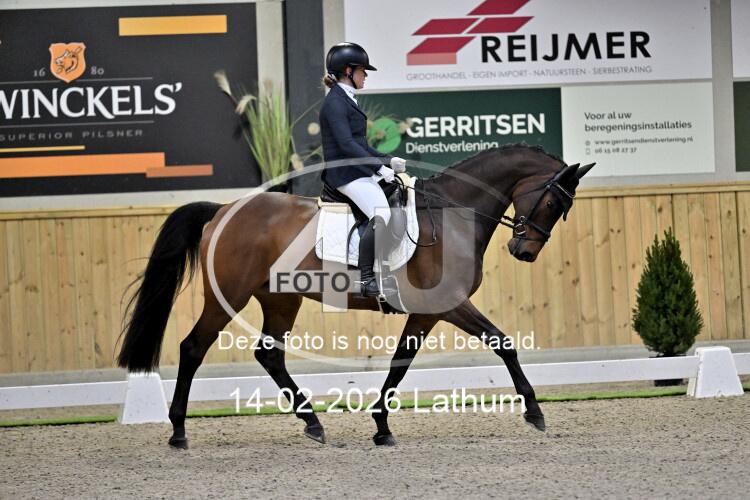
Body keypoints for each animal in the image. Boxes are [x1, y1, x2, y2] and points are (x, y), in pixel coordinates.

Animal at [116, 143, 595, 449]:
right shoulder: (451, 304)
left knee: (269, 354)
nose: (523, 251)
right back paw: (178, 432)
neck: (453, 213)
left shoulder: (427, 312)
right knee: (193, 347)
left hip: (280, 299)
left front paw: (381, 426)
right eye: (553, 203)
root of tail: (222, 211)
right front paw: (534, 412)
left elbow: (401, 362)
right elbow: (503, 343)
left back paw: (312, 423)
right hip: (227, 297)